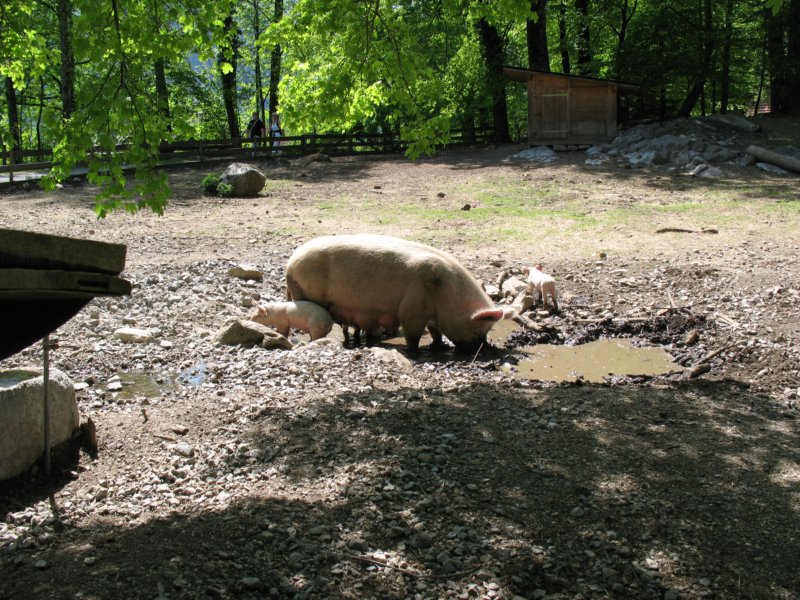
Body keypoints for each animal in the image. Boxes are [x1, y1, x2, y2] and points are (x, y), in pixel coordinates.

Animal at [284, 232, 516, 350]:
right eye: (479, 330)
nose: (483, 348)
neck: (447, 296)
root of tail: (290, 265)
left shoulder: (432, 315)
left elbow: (436, 332)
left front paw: (438, 346)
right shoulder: (412, 308)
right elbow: (413, 335)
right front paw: (415, 351)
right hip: (307, 293)